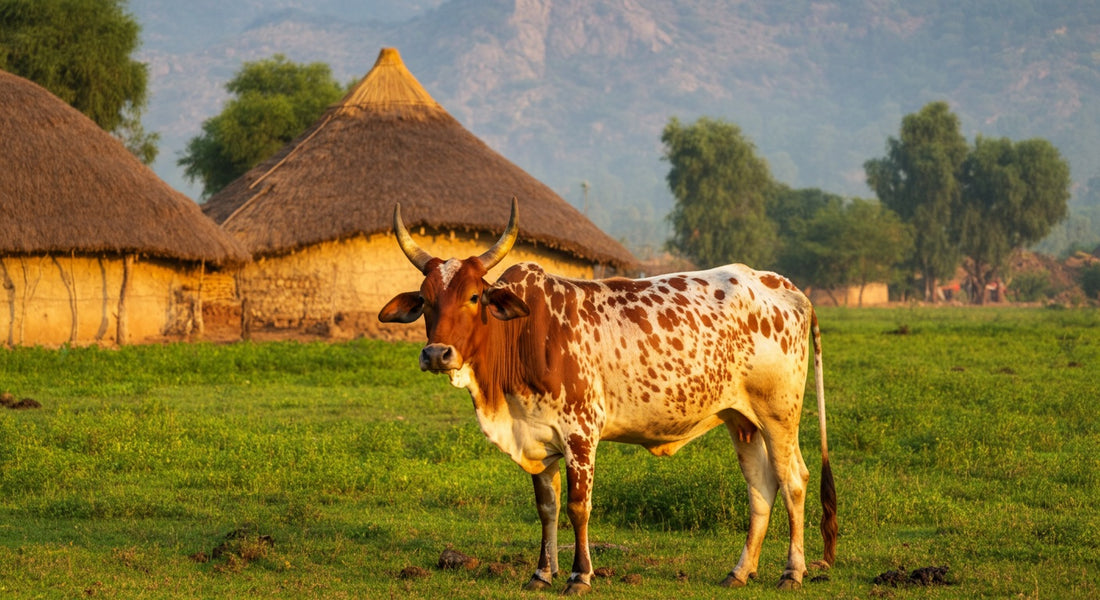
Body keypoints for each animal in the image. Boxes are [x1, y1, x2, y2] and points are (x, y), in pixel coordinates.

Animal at [379, 198, 837, 594]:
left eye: (474, 297)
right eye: (426, 301)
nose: (436, 354)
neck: (524, 334)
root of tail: (784, 285)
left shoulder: (581, 434)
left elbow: (578, 507)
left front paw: (579, 576)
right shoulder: (537, 435)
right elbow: (547, 507)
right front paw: (541, 574)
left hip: (778, 415)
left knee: (793, 480)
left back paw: (792, 572)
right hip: (742, 420)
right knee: (760, 487)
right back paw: (740, 571)